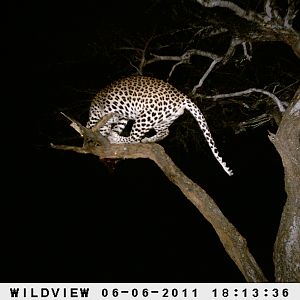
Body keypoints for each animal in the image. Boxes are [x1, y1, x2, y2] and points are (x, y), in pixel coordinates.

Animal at [85, 74, 233, 176]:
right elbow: (117, 125)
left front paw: (98, 137)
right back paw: (147, 140)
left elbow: (93, 127)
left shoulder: (101, 116)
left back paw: (116, 139)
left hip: (145, 116)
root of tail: (181, 96)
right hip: (161, 119)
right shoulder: (120, 116)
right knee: (165, 132)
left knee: (135, 138)